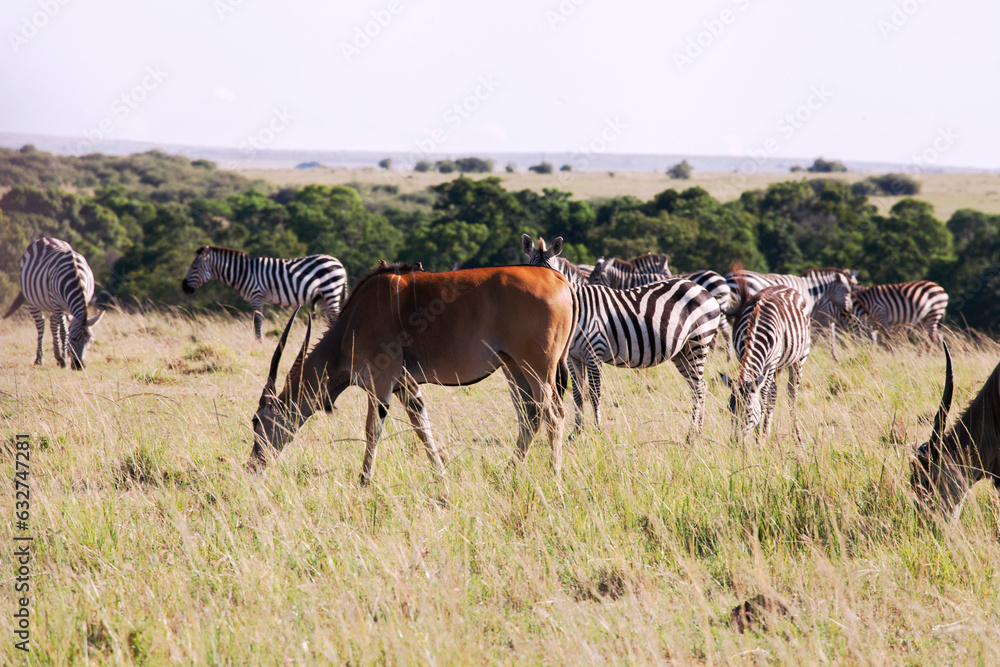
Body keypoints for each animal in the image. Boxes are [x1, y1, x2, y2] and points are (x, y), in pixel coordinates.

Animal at [2, 237, 105, 369]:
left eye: (90, 341)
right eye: (74, 339)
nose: (79, 366)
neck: (76, 277)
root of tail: (45, 238)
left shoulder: (81, 300)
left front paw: (63, 358)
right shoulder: (59, 304)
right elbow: (64, 332)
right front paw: (65, 360)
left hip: (52, 305)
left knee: (52, 324)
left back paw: (58, 358)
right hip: (34, 301)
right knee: (41, 325)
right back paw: (39, 359)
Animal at [182, 246, 348, 341]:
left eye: (195, 267)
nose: (184, 287)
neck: (243, 273)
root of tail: (339, 263)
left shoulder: (256, 294)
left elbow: (257, 320)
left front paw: (259, 341)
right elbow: (256, 320)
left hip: (331, 291)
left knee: (336, 315)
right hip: (323, 297)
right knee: (331, 318)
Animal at [523, 236, 721, 437]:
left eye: (551, 273)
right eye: (530, 271)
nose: (542, 299)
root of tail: (700, 288)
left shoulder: (594, 351)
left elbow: (595, 393)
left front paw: (598, 429)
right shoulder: (573, 357)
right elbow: (578, 393)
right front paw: (577, 432)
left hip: (698, 342)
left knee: (699, 387)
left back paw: (691, 434)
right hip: (682, 352)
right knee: (699, 385)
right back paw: (698, 430)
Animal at [720, 279, 812, 444]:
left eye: (748, 411)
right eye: (730, 410)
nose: (735, 442)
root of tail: (784, 286)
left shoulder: (771, 363)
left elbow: (762, 399)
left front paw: (758, 440)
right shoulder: (741, 357)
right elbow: (766, 398)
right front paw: (761, 435)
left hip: (798, 359)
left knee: (791, 395)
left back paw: (797, 438)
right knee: (773, 394)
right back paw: (767, 432)